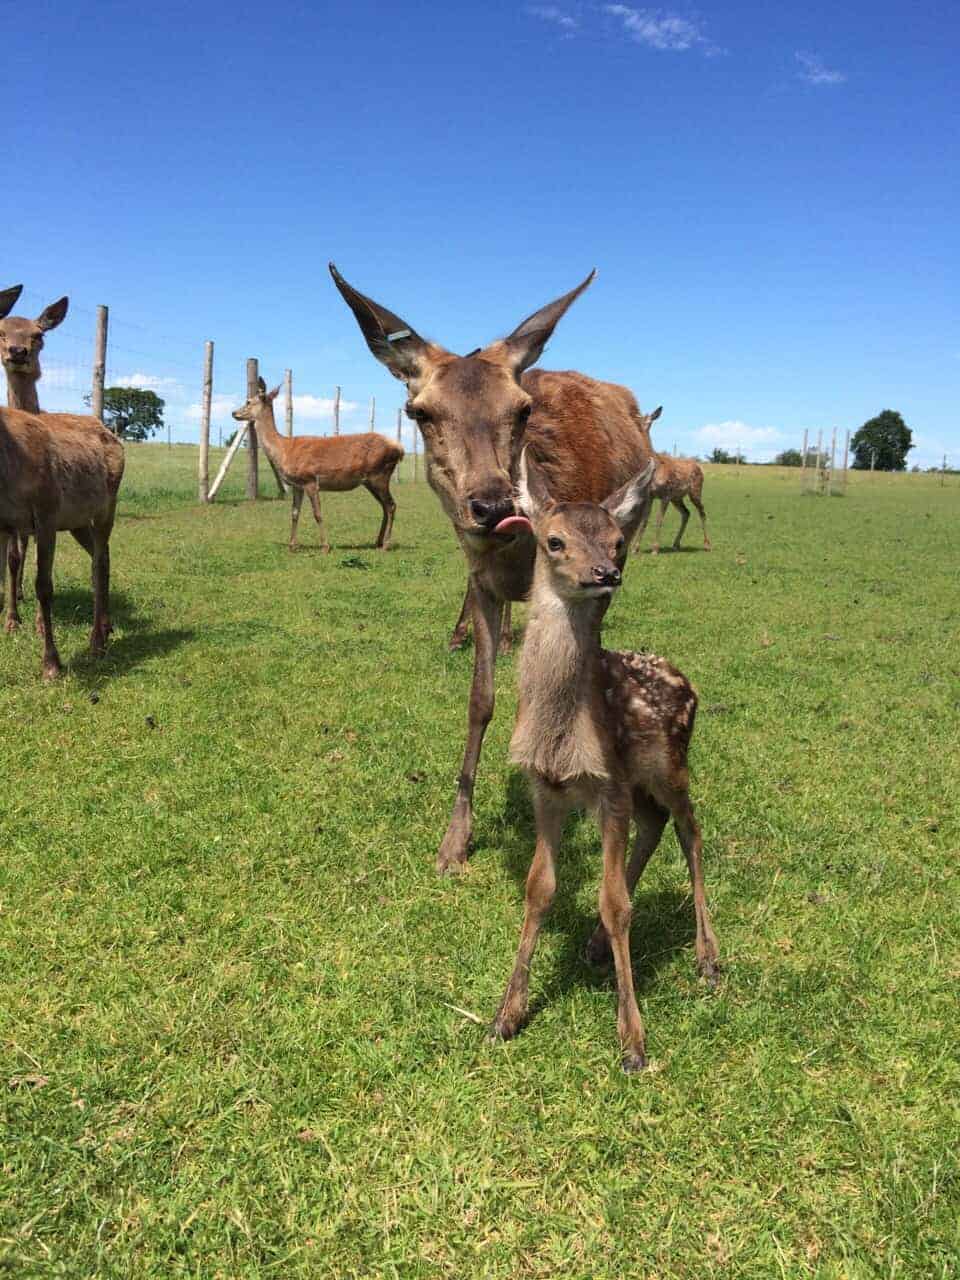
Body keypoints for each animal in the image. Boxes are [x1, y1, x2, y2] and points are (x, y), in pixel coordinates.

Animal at [231, 378, 404, 552]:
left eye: (248, 401)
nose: (234, 413)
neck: (284, 449)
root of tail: (399, 449)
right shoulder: (297, 485)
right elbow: (294, 513)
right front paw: (292, 545)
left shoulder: (310, 480)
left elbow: (317, 514)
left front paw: (325, 546)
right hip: (370, 481)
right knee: (384, 506)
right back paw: (378, 541)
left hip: (380, 475)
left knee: (391, 505)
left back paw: (386, 544)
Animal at [330, 263, 658, 873]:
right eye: (419, 412)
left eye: (522, 409)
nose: (491, 505)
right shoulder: (482, 581)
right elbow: (480, 700)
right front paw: (454, 840)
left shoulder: (598, 577)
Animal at [490, 451, 720, 1071]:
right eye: (554, 541)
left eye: (619, 542)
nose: (606, 574)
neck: (561, 735)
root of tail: (684, 678)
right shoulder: (546, 789)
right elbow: (539, 888)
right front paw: (506, 1014)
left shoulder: (608, 786)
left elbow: (617, 903)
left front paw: (633, 1040)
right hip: (640, 781)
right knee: (656, 824)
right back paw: (596, 943)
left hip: (671, 764)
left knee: (690, 830)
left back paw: (708, 956)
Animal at [630, 407, 711, 555]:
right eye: (637, 418)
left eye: (649, 419)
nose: (639, 426)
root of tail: (698, 466)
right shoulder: (650, 495)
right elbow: (644, 520)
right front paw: (635, 548)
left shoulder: (666, 493)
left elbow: (659, 519)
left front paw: (655, 549)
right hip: (677, 497)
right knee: (686, 513)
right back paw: (676, 544)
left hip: (695, 490)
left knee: (702, 511)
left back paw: (707, 545)